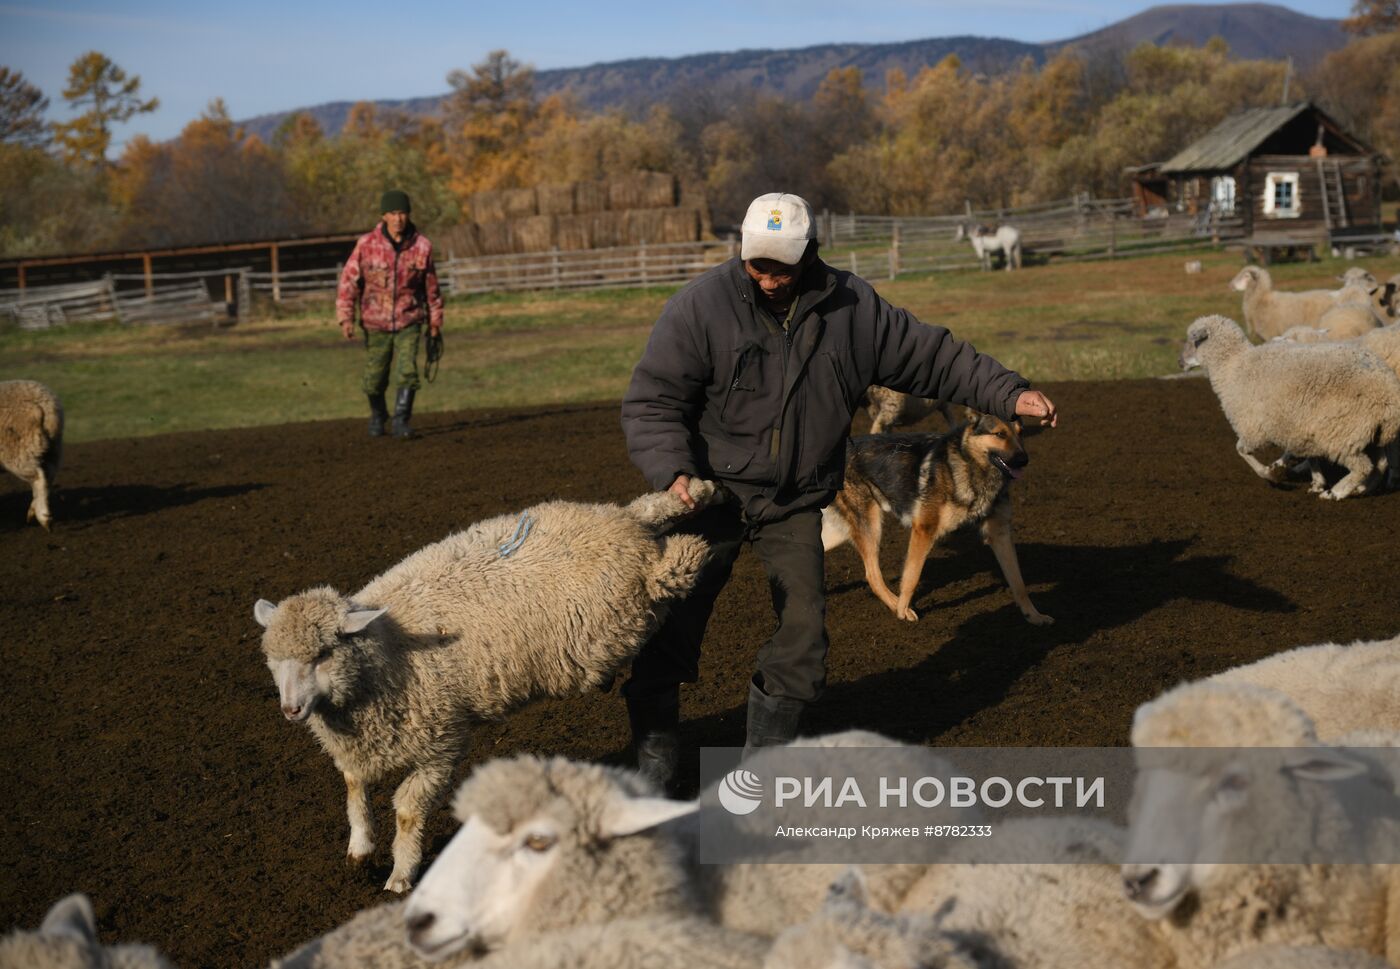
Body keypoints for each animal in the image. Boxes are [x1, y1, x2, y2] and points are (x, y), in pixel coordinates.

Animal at [817, 411, 1052, 624]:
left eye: (1020, 433)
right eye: (1000, 434)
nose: (1024, 460)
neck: (971, 466)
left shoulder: (1000, 533)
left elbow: (1018, 583)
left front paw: (1034, 616)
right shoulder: (924, 529)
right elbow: (911, 576)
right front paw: (902, 610)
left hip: (843, 531)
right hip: (870, 526)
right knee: (872, 576)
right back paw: (895, 605)